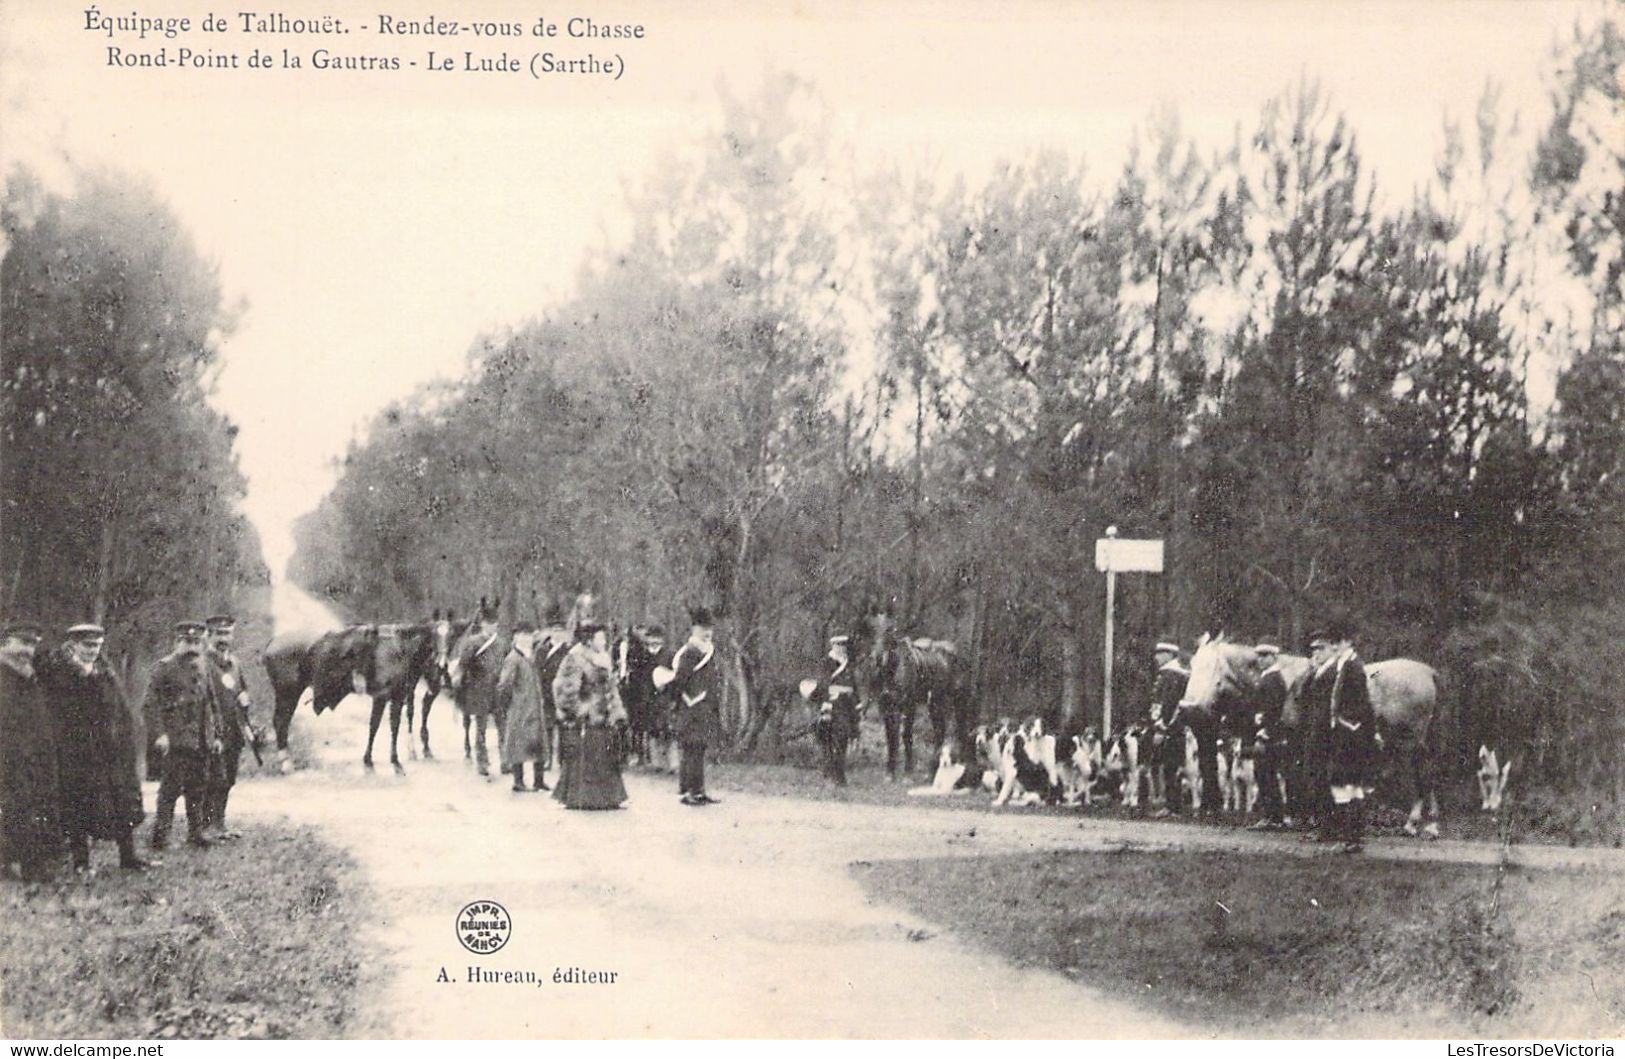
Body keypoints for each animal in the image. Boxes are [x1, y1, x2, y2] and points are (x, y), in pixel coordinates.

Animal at [845, 607, 968, 782]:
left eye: (890, 630)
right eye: (872, 629)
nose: (878, 659)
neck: (893, 670)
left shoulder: (908, 705)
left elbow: (906, 735)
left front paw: (908, 770)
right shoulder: (886, 707)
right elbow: (891, 737)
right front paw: (890, 771)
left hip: (958, 701)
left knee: (960, 730)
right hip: (935, 702)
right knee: (940, 731)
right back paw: (933, 768)